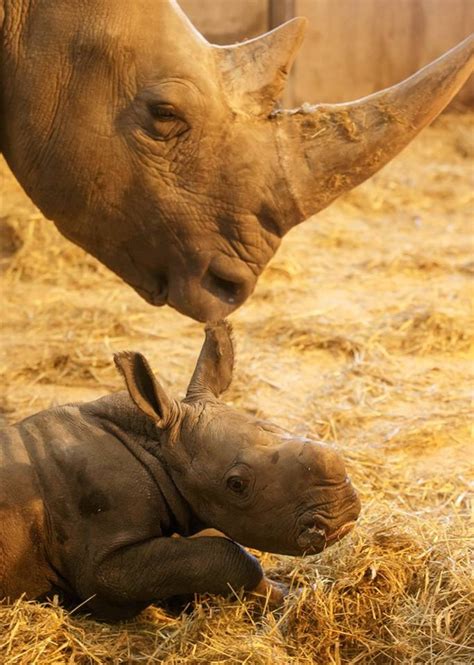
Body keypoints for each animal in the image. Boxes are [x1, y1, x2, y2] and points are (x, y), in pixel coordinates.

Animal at [0, 322, 360, 616]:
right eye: (237, 484)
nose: (343, 513)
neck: (157, 446)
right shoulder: (100, 566)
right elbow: (225, 555)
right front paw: (272, 597)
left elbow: (211, 544)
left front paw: (283, 594)